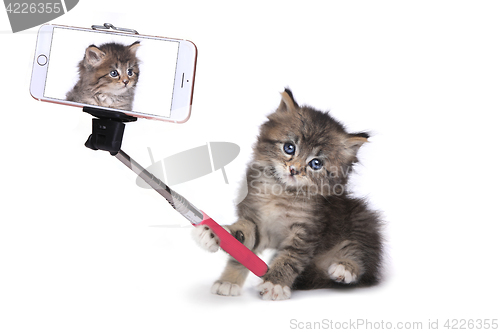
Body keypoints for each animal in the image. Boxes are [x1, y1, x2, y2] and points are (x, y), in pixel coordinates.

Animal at [192, 89, 382, 300]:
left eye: (316, 163)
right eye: (289, 147)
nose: (293, 170)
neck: (281, 192)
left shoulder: (307, 231)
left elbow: (290, 258)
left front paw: (275, 283)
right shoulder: (256, 221)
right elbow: (241, 242)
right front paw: (225, 269)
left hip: (361, 220)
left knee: (361, 255)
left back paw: (344, 268)